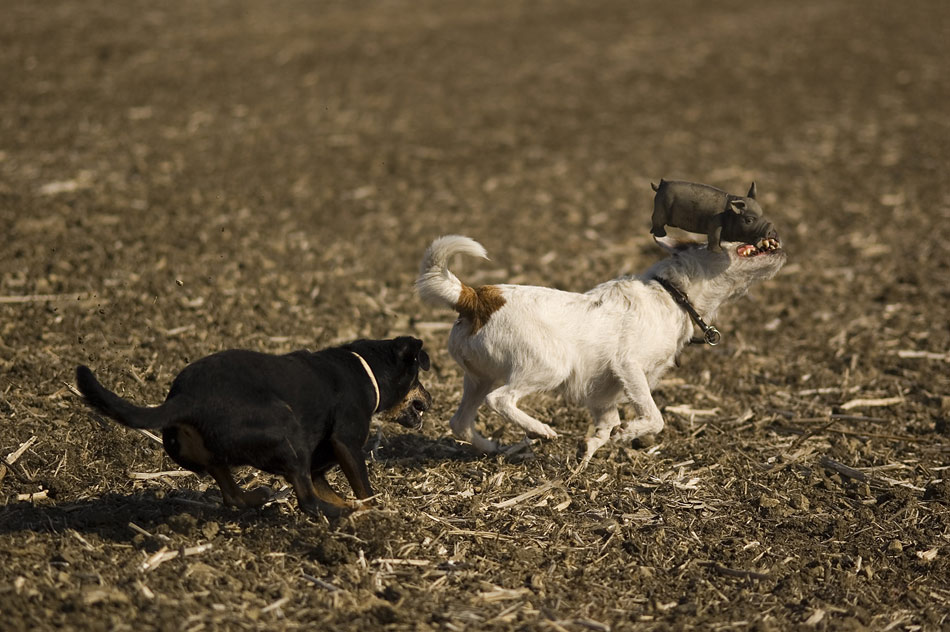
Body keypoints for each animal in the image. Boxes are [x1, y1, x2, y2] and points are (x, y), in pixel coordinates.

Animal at [74, 336, 432, 520]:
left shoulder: (319, 466)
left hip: (215, 456)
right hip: (286, 430)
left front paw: (355, 509)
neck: (364, 369)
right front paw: (375, 514)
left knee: (232, 494)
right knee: (307, 502)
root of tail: (186, 398)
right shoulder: (346, 445)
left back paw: (259, 496)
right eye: (418, 377)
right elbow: (363, 490)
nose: (430, 398)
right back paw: (336, 515)